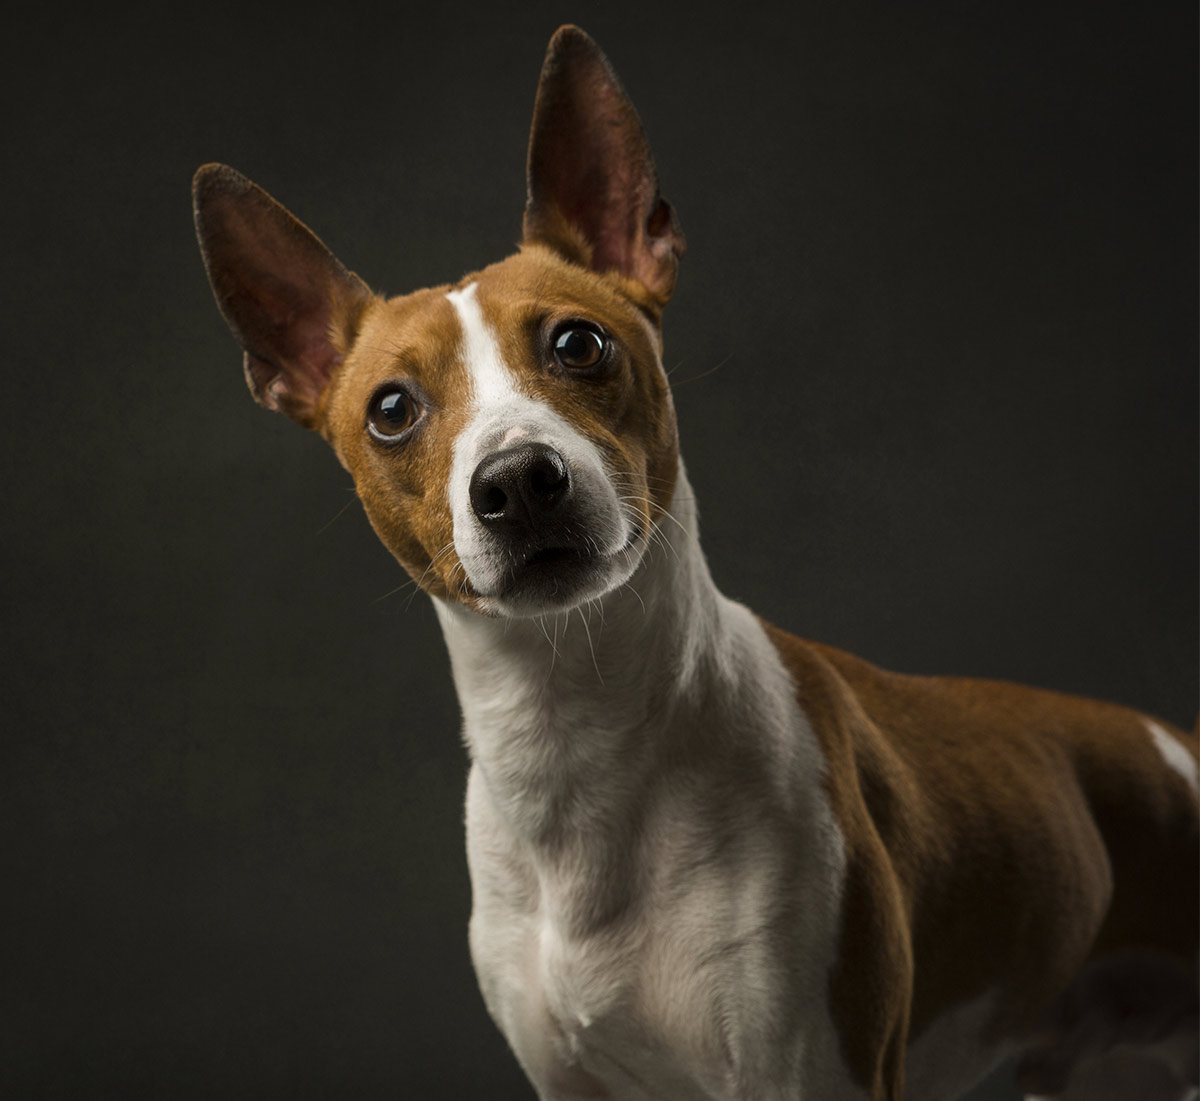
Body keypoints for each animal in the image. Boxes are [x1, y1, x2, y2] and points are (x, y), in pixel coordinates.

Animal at [192, 25, 1195, 1101]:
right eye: (391, 409)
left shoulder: (805, 1069)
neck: (575, 737)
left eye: (578, 342)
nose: (518, 481)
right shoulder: (567, 1080)